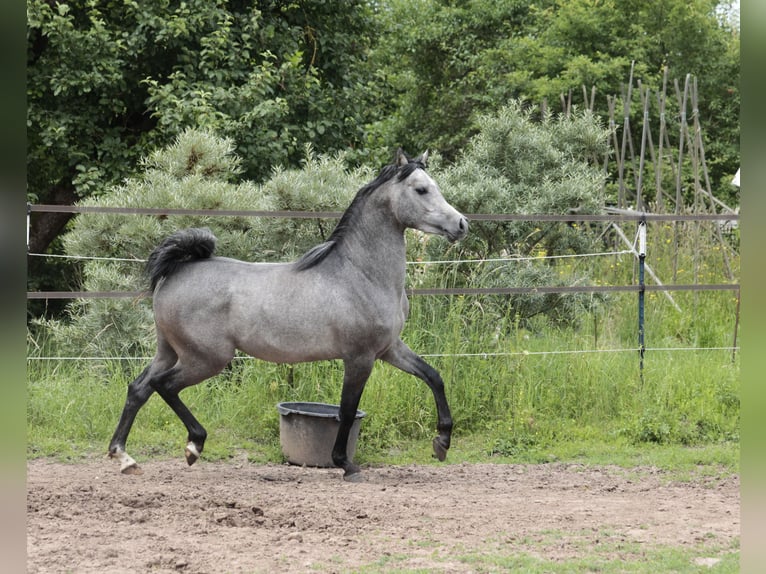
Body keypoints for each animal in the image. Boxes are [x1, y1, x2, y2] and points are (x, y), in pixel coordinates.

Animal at [107, 150, 468, 482]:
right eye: (421, 189)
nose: (461, 224)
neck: (360, 275)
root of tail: (176, 271)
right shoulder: (359, 357)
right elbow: (347, 409)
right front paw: (345, 464)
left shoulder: (389, 349)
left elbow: (433, 376)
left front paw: (442, 443)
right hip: (206, 358)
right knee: (163, 386)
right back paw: (194, 446)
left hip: (169, 351)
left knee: (138, 388)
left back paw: (124, 457)